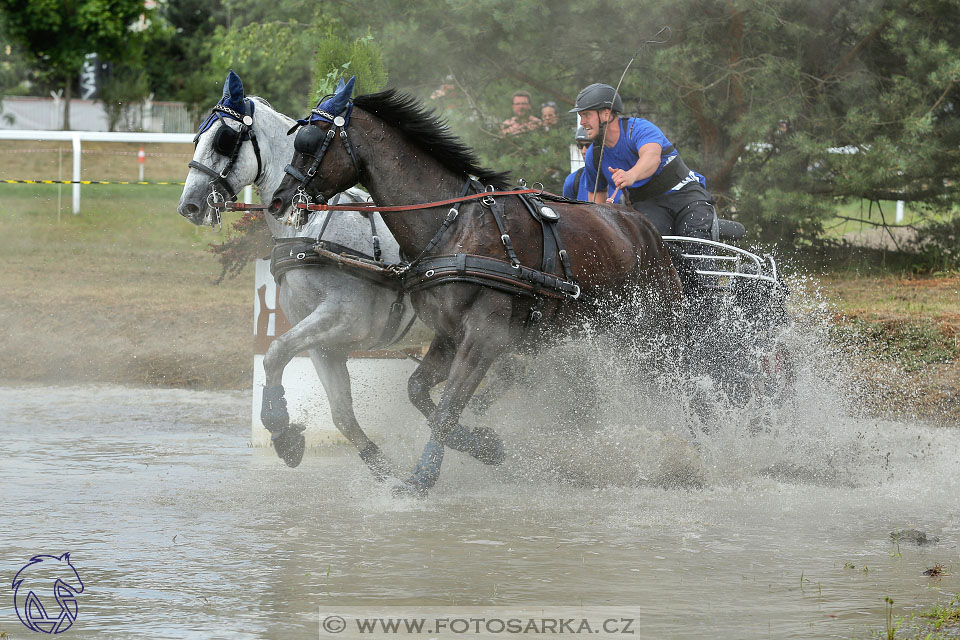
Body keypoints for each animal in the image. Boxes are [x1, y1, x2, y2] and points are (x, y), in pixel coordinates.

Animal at [176, 72, 502, 478]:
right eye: (197, 138)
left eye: (224, 139)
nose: (189, 205)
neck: (312, 230)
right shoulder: (324, 343)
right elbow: (341, 413)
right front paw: (381, 468)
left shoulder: (344, 319)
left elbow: (275, 352)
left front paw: (280, 428)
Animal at [274, 80, 688, 498]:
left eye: (309, 141)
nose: (280, 199)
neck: (455, 227)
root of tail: (644, 228)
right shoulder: (448, 335)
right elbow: (419, 393)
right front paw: (485, 446)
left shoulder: (483, 336)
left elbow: (445, 410)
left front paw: (422, 477)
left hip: (657, 336)